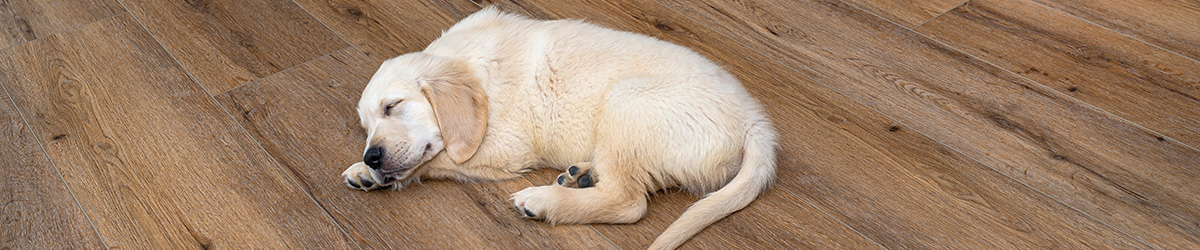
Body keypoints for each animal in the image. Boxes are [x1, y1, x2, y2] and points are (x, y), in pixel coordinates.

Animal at [340, 6, 777, 248]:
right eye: (365, 125)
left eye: (393, 106)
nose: (372, 155)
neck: (473, 66)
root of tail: (755, 123)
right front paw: (365, 171)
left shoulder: (504, 148)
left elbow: (436, 158)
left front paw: (370, 171)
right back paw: (580, 175)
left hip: (628, 101)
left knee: (629, 201)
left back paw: (546, 200)